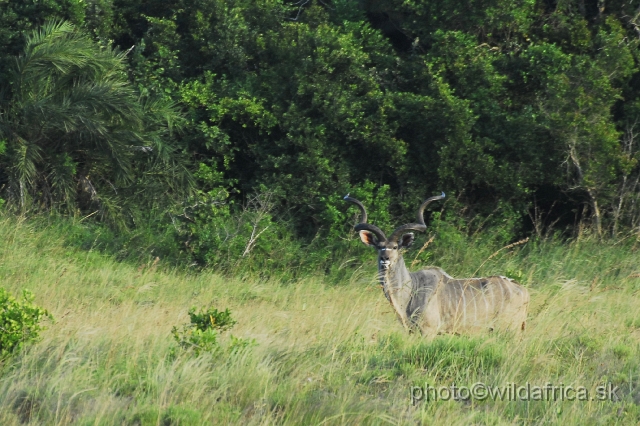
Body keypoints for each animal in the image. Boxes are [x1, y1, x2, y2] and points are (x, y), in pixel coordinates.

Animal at [344, 194, 528, 336]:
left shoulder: (428, 331)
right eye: (379, 247)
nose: (385, 259)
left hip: (508, 330)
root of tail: (523, 290)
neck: (412, 289)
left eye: (395, 247)